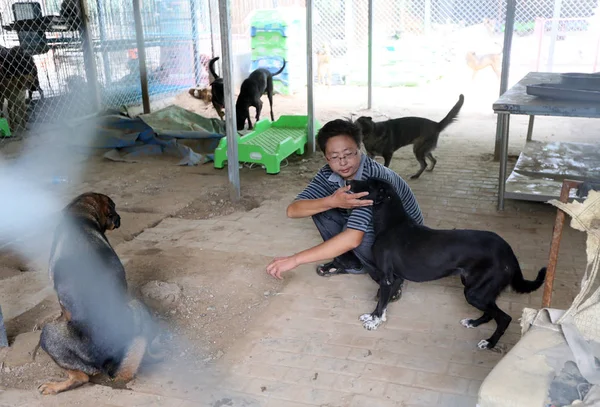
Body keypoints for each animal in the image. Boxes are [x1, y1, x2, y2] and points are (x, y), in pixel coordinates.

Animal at [38, 193, 161, 396]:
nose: (119, 218)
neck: (81, 214)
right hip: (137, 307)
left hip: (48, 333)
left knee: (81, 378)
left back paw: (54, 386)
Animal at [350, 178, 548, 350]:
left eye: (368, 183)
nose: (349, 181)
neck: (391, 223)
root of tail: (509, 252)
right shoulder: (395, 278)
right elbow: (382, 303)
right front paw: (374, 316)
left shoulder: (386, 277)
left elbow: (382, 301)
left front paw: (374, 322)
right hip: (479, 289)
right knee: (491, 313)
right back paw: (473, 323)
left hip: (474, 293)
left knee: (504, 318)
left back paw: (489, 343)